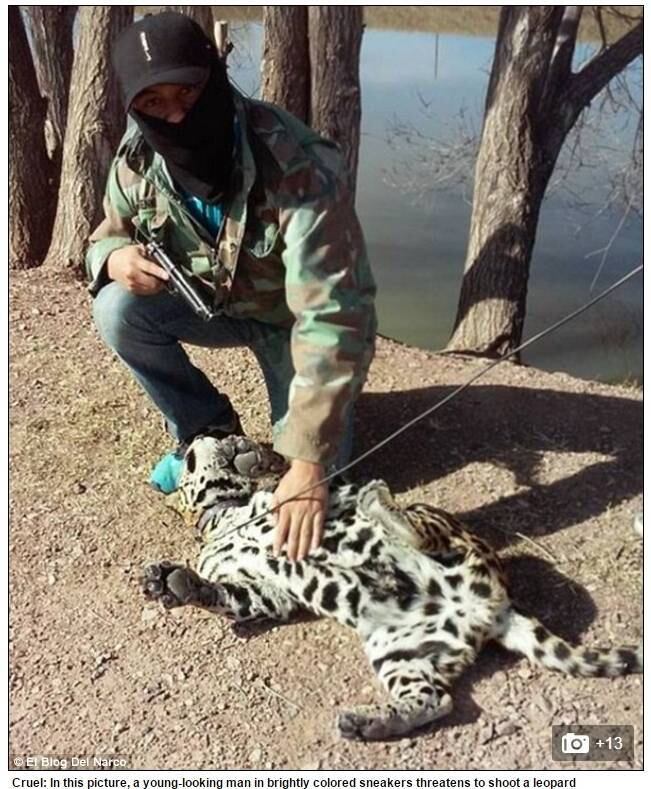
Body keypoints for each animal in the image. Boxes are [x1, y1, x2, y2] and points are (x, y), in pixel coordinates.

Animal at [142, 435, 642, 741]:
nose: (187, 438)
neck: (222, 516)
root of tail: (496, 607)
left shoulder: (297, 499)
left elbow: (282, 474)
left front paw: (247, 455)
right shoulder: (267, 591)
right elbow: (229, 594)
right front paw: (174, 583)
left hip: (444, 529)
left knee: (418, 531)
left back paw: (379, 506)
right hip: (402, 652)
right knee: (437, 700)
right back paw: (369, 724)